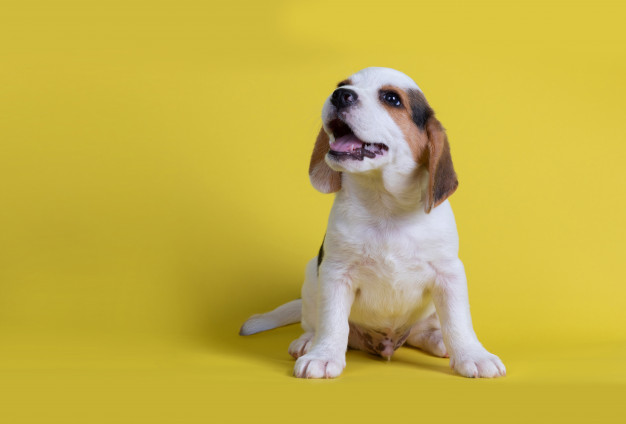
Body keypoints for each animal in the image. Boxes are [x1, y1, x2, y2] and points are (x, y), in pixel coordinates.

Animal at [241, 67, 504, 380]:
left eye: (391, 98)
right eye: (342, 85)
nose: (340, 95)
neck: (384, 206)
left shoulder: (448, 273)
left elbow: (458, 320)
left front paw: (473, 354)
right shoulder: (335, 273)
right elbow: (333, 322)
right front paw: (323, 355)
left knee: (422, 332)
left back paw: (438, 339)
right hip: (312, 275)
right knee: (314, 322)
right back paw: (307, 342)